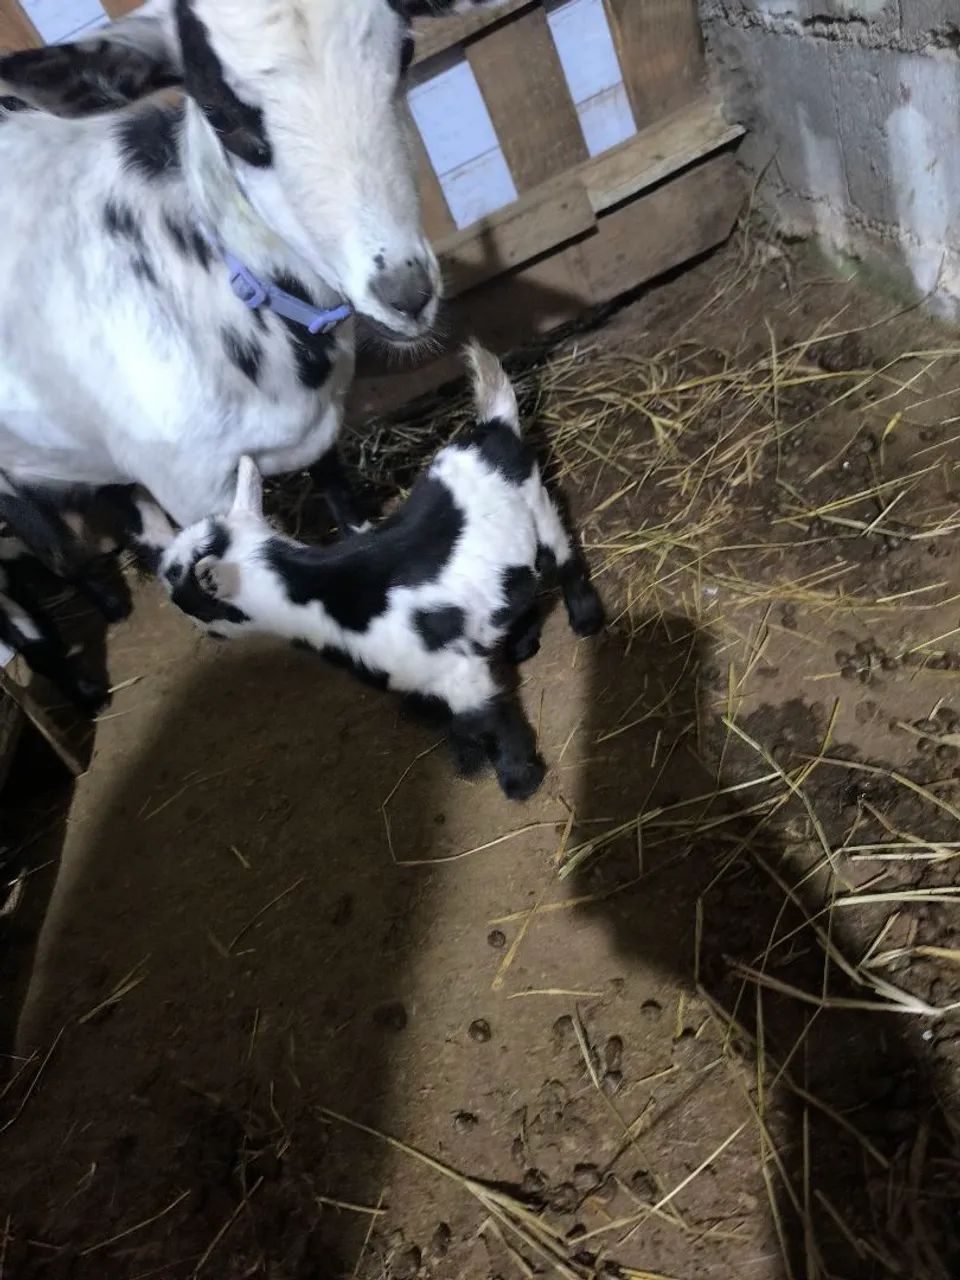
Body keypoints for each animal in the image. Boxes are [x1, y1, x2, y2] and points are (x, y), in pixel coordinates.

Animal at [161, 346, 605, 800]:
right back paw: (522, 643)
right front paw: (467, 753)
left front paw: (519, 779)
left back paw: (586, 619)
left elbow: (492, 719)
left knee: (563, 560)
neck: (320, 594)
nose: (186, 618)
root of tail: (489, 430)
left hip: (537, 504)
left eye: (182, 592)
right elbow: (455, 720)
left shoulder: (459, 673)